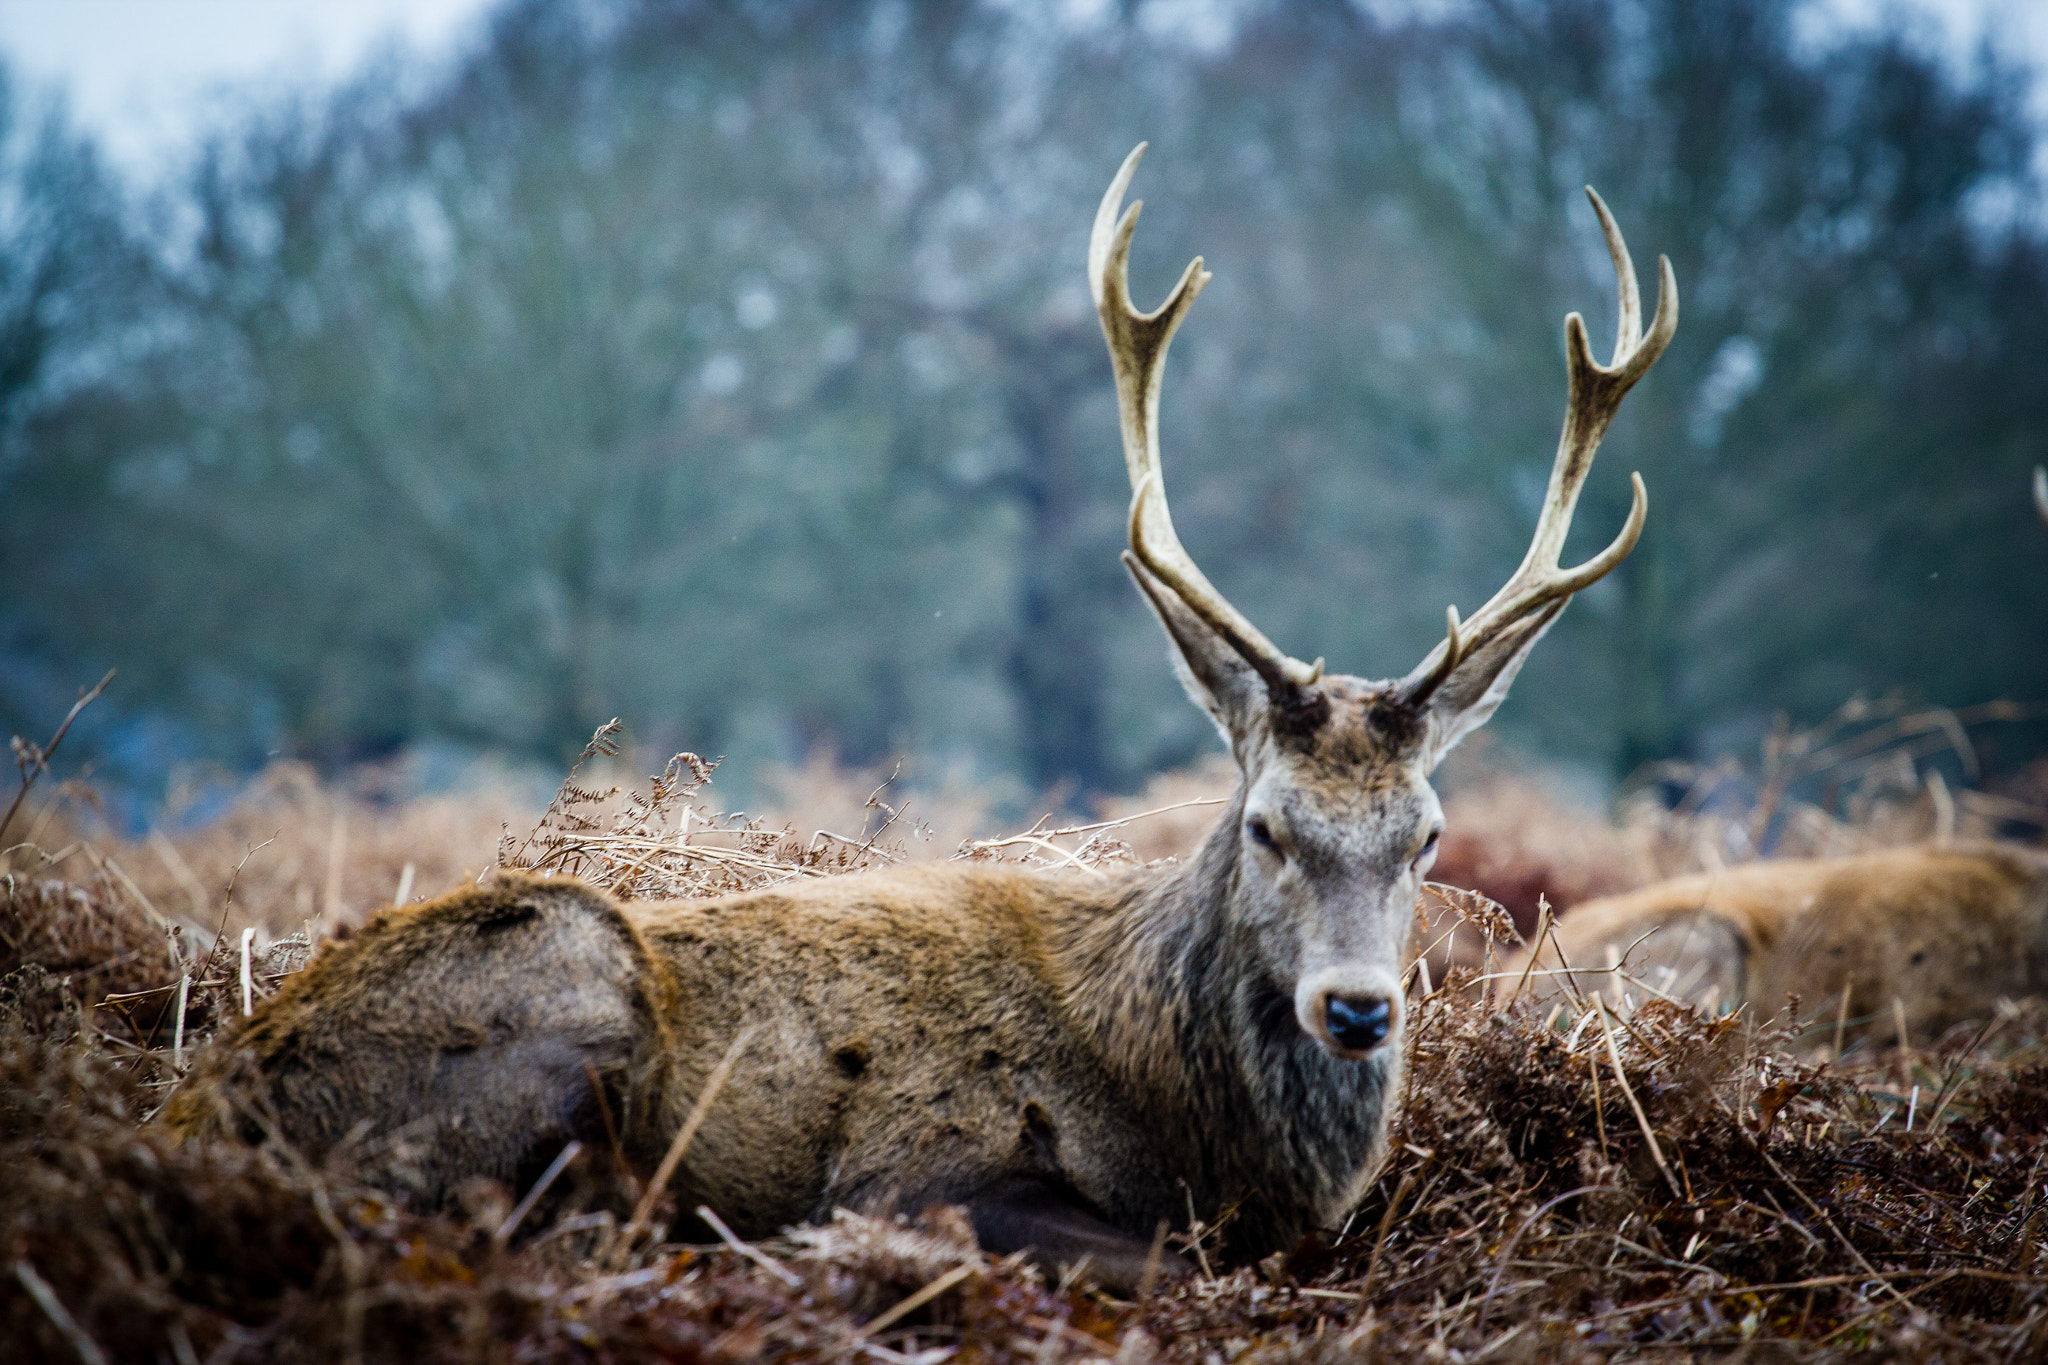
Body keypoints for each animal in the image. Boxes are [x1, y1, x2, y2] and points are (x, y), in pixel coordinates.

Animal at [155, 149, 1662, 1293]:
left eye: (1426, 837)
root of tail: (200, 1100)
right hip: (567, 971)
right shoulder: (914, 1165)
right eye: (1267, 826)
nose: (1356, 1008)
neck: (1191, 1128)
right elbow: (1145, 1256)